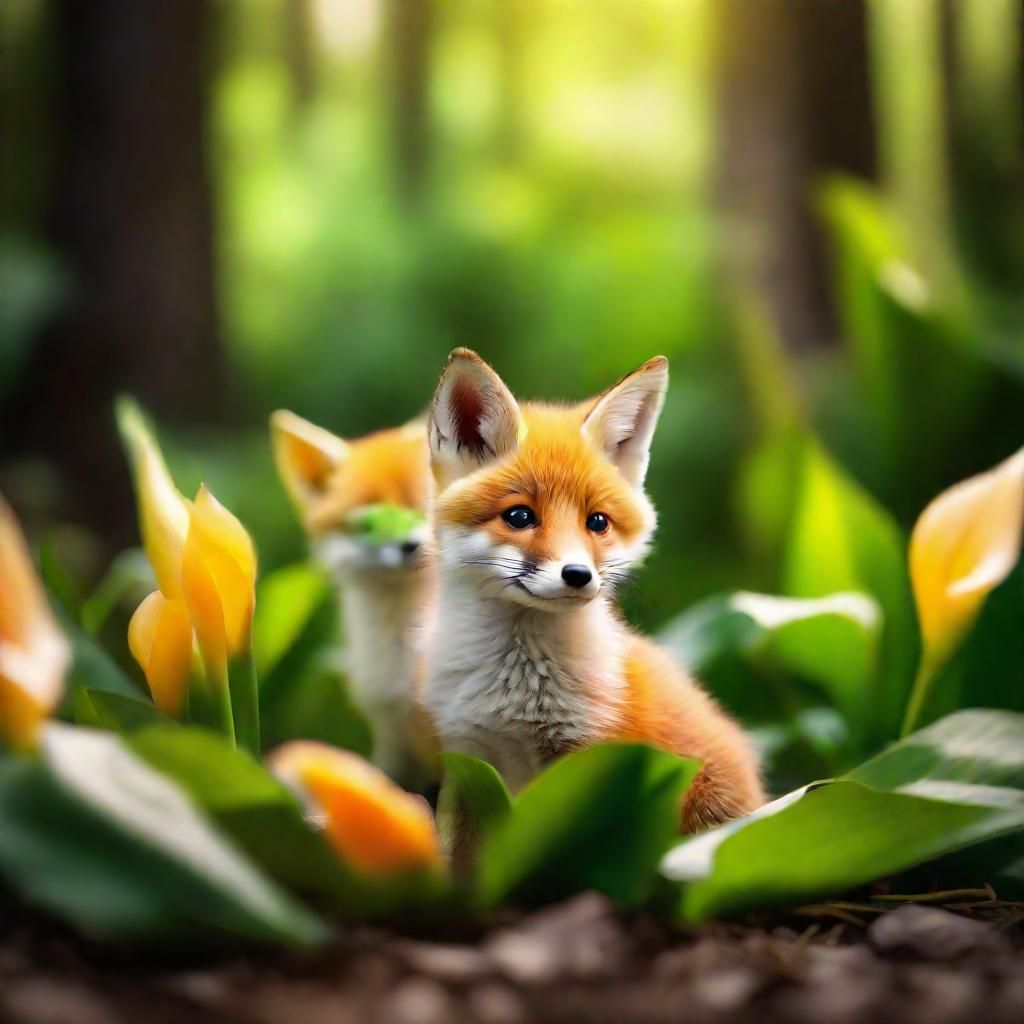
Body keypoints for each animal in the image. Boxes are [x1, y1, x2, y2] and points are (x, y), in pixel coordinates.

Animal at [419, 349, 765, 831]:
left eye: (597, 522)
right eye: (520, 516)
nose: (577, 574)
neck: (516, 691)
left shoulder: (585, 766)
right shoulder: (469, 761)